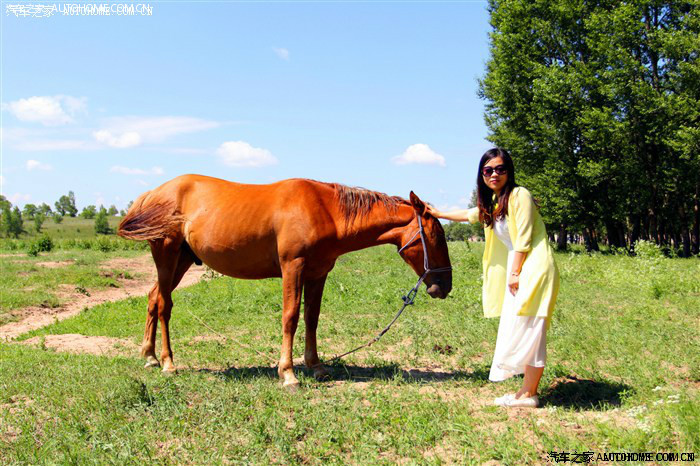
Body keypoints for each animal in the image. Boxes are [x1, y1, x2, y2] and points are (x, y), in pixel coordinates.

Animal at [117, 173, 452, 388]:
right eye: (436, 236)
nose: (445, 286)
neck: (325, 209)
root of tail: (152, 194)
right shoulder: (293, 266)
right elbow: (290, 317)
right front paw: (288, 373)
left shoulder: (318, 272)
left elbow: (312, 318)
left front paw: (316, 367)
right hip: (167, 253)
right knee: (165, 305)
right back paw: (168, 363)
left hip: (182, 260)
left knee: (153, 297)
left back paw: (149, 356)